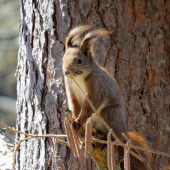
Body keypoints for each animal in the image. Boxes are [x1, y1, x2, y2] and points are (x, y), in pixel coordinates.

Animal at [62, 25, 149, 170]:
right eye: (62, 59)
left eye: (79, 60)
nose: (66, 72)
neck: (78, 79)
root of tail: (123, 131)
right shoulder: (71, 89)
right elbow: (74, 105)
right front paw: (74, 120)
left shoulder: (97, 88)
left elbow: (90, 106)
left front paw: (79, 121)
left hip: (109, 114)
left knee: (113, 138)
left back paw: (103, 142)